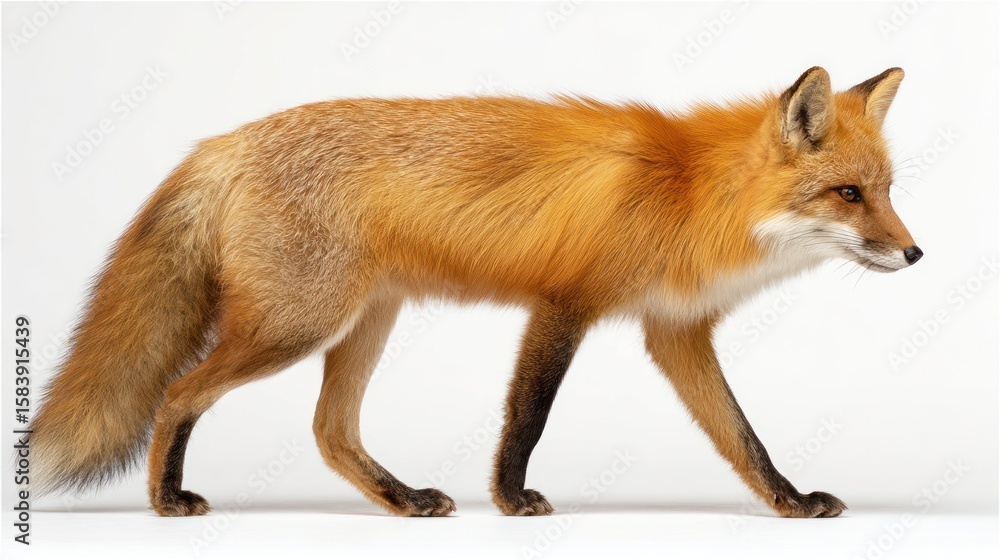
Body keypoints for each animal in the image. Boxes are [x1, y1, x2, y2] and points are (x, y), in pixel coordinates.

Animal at [27, 66, 920, 519]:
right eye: (847, 195)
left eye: (885, 190)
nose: (915, 253)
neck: (692, 194)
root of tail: (224, 141)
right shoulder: (564, 303)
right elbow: (529, 413)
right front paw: (511, 496)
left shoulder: (675, 332)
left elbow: (742, 437)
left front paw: (788, 501)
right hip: (298, 325)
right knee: (180, 392)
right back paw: (164, 499)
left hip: (365, 322)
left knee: (329, 431)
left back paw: (400, 499)